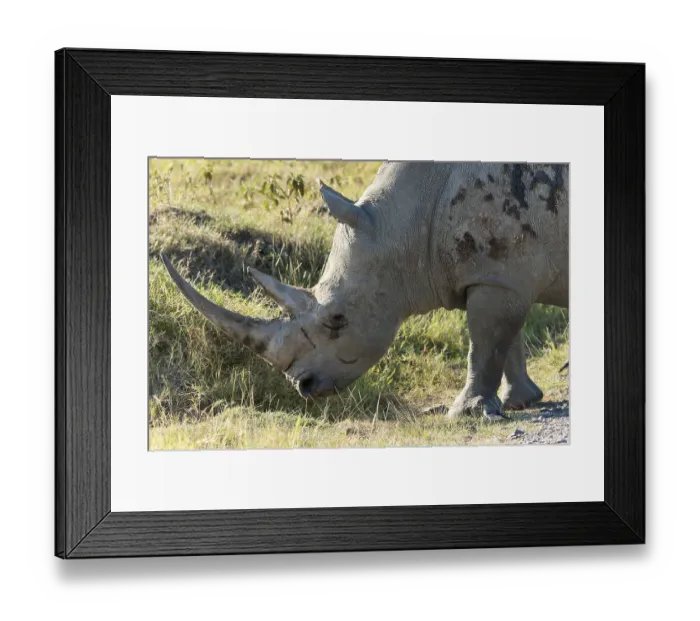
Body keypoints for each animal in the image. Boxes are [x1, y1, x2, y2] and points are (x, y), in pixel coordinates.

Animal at [162, 162, 568, 420]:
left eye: (337, 319)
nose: (303, 386)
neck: (407, 221)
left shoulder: (498, 269)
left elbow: (485, 341)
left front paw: (464, 413)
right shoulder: (496, 271)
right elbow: (505, 338)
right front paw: (517, 402)